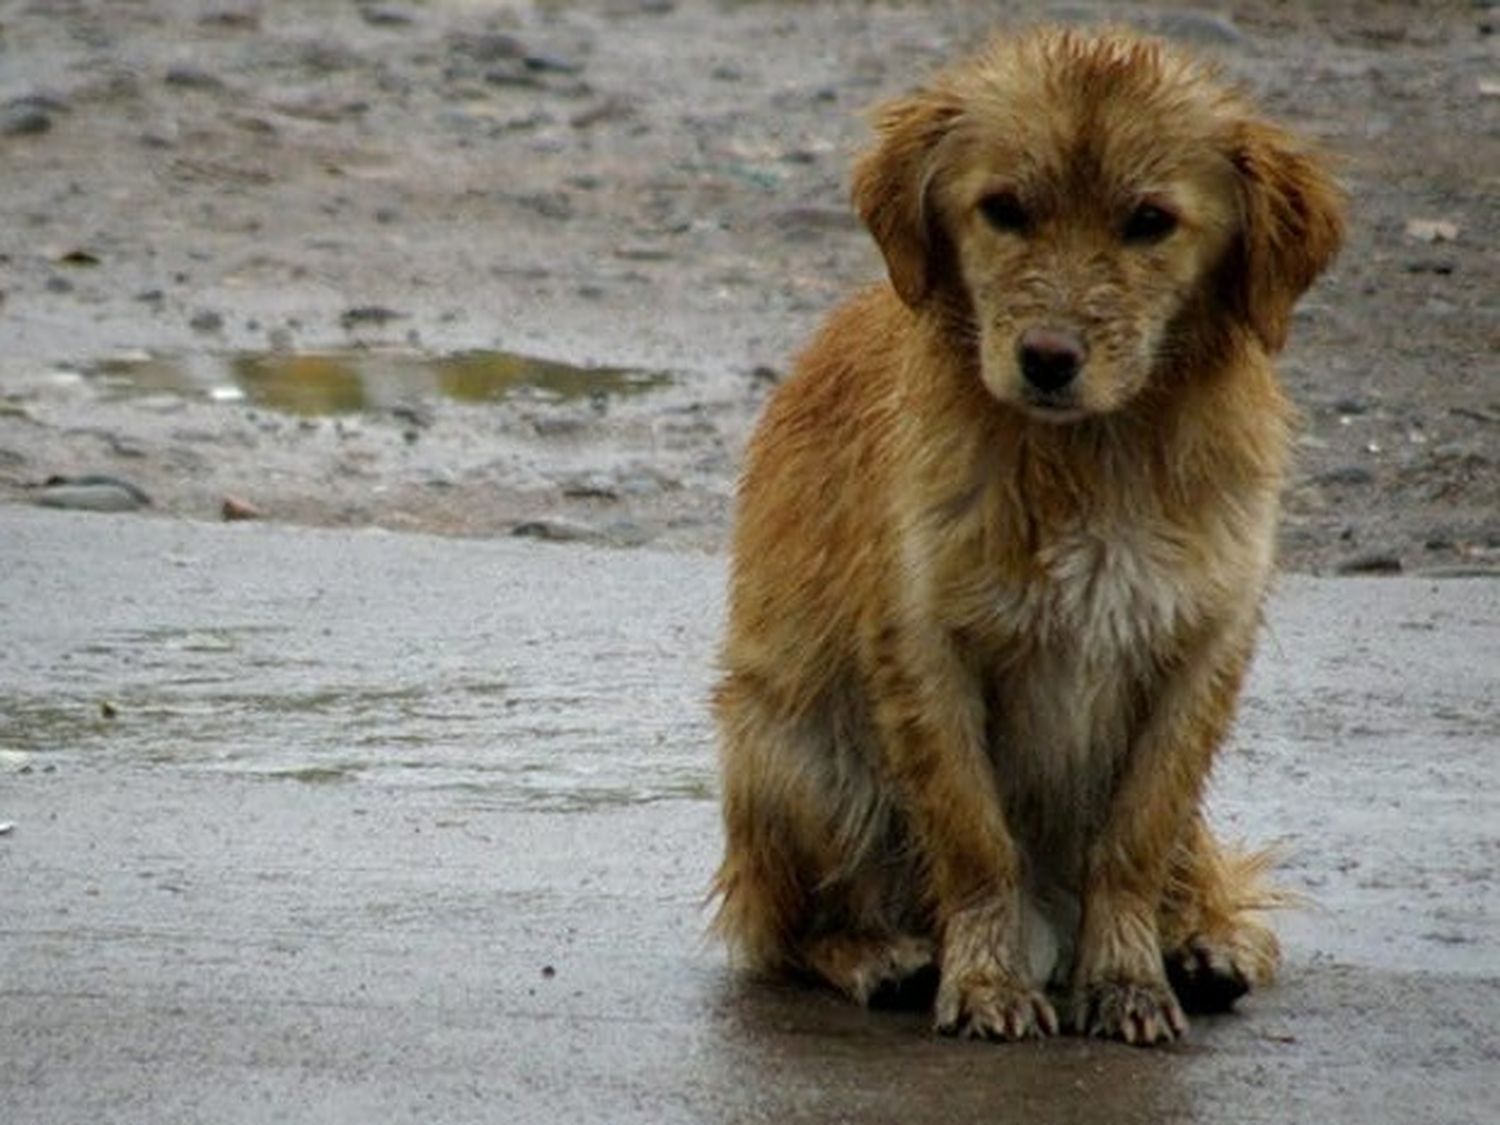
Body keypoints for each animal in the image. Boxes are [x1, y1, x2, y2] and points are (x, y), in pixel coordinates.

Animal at [708, 26, 1344, 1050]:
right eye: (1004, 208)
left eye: (1151, 221)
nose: (1047, 359)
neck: (1092, 454)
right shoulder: (927, 648)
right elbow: (975, 838)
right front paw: (987, 978)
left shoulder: (1201, 651)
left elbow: (1133, 839)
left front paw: (1125, 976)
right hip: (797, 752)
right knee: (789, 926)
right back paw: (880, 954)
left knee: (1199, 873)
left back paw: (1205, 942)